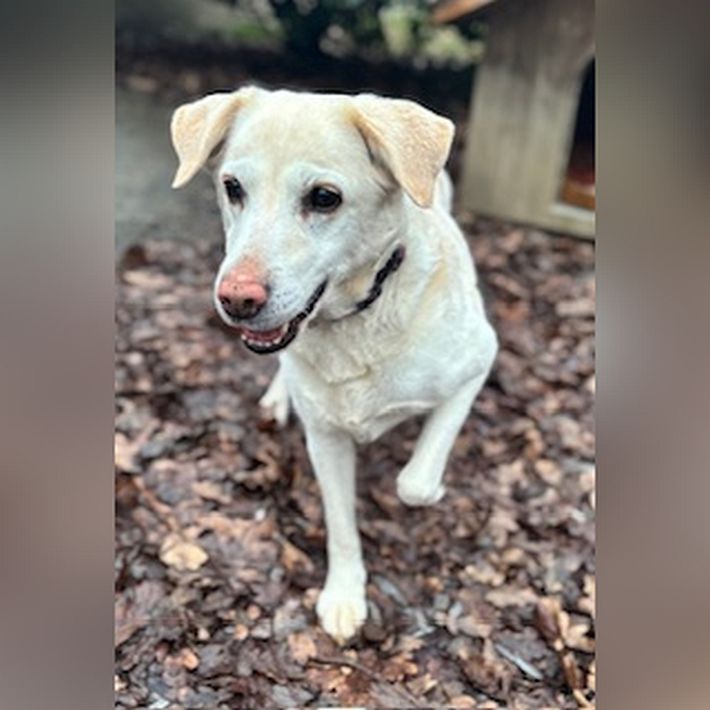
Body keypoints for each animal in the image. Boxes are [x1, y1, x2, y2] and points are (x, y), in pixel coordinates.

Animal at [170, 87, 497, 643]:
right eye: (233, 187)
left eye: (324, 198)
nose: (235, 299)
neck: (357, 319)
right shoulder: (325, 439)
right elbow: (341, 526)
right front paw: (345, 595)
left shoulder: (476, 365)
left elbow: (414, 483)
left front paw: (432, 490)